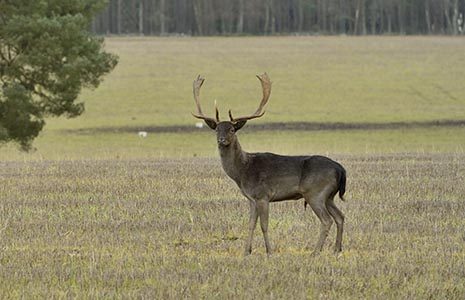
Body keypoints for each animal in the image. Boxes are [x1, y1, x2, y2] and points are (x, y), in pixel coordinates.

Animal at [190, 72, 346, 255]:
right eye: (216, 129)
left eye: (232, 129)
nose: (221, 140)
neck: (242, 172)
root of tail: (341, 169)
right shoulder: (251, 198)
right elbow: (251, 224)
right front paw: (246, 251)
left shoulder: (263, 195)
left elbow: (264, 225)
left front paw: (269, 251)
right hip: (329, 195)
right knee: (340, 216)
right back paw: (336, 249)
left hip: (316, 193)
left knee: (327, 220)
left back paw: (315, 252)